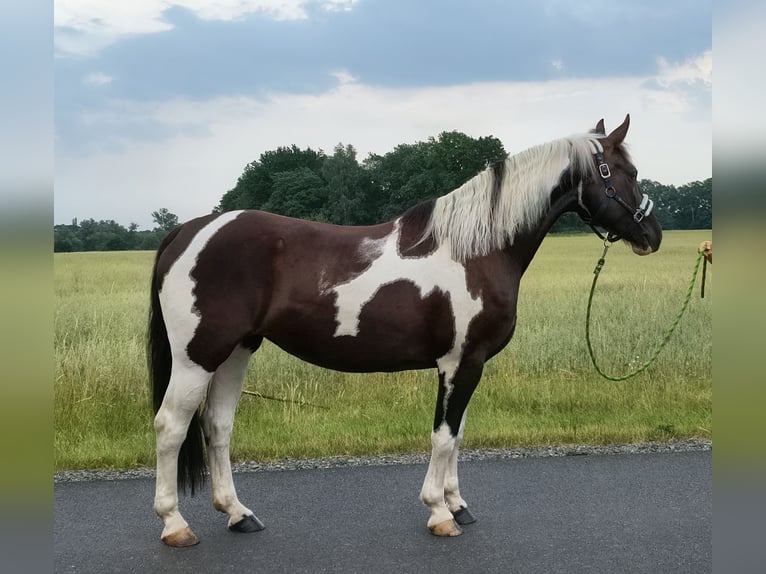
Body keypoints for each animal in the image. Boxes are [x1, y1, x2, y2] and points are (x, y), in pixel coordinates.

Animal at [148, 115, 662, 546]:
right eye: (627, 173)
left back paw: (239, 514)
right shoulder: (460, 362)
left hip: (236, 351)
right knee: (171, 426)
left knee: (217, 426)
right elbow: (443, 435)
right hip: (198, 356)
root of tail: (189, 231)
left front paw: (458, 504)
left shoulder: (467, 365)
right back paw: (175, 525)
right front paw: (439, 513)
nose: (652, 236)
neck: (476, 251)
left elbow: (457, 433)